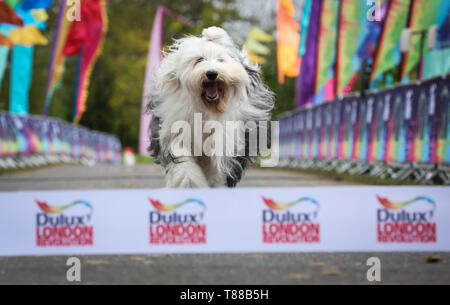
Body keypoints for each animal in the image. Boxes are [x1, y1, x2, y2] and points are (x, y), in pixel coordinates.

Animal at [149, 26, 272, 188]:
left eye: (221, 60)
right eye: (200, 59)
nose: (212, 73)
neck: (207, 108)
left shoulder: (226, 139)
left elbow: (217, 169)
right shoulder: (176, 129)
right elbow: (184, 164)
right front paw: (190, 183)